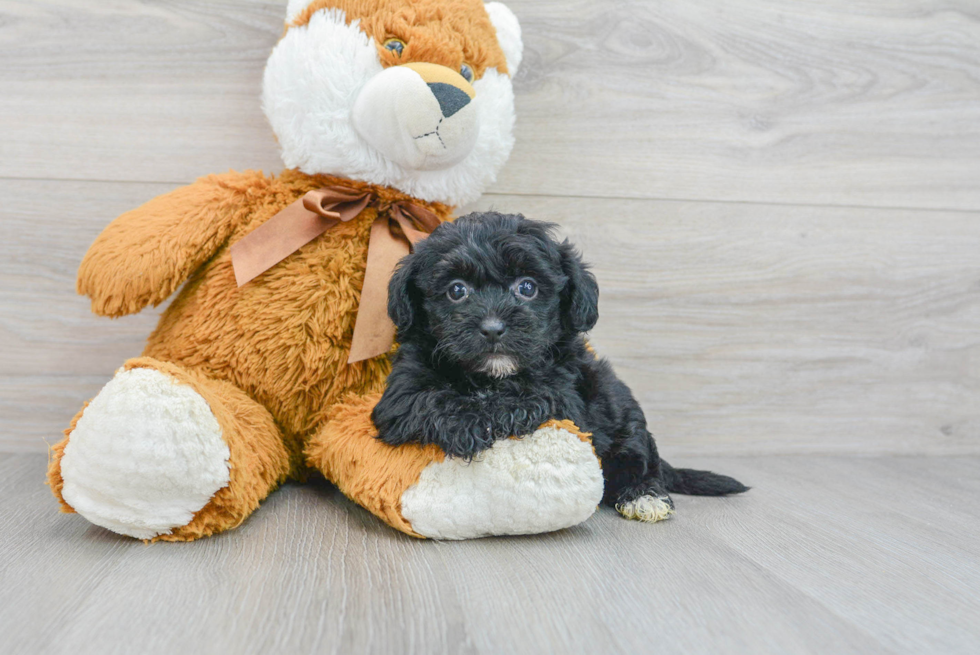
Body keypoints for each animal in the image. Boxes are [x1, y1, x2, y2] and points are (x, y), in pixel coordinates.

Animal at [372, 213, 748, 520]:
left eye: (527, 287)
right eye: (456, 290)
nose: (492, 328)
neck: (491, 376)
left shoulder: (567, 392)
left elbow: (532, 396)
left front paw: (487, 417)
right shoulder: (400, 392)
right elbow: (429, 399)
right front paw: (468, 425)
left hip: (622, 411)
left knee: (641, 456)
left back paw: (644, 495)